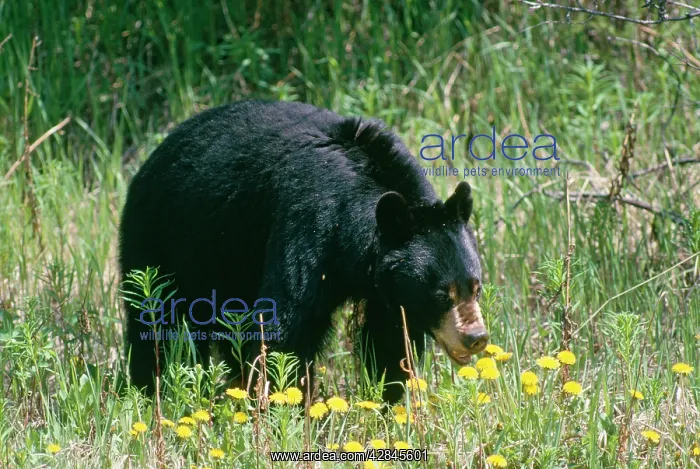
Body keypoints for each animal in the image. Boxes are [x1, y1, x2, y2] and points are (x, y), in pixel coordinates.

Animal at [119, 100, 488, 402]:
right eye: (441, 295)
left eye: (476, 287)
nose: (476, 337)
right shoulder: (310, 221)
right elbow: (288, 322)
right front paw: (285, 403)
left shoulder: (386, 288)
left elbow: (390, 337)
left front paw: (390, 400)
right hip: (162, 237)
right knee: (155, 320)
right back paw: (150, 389)